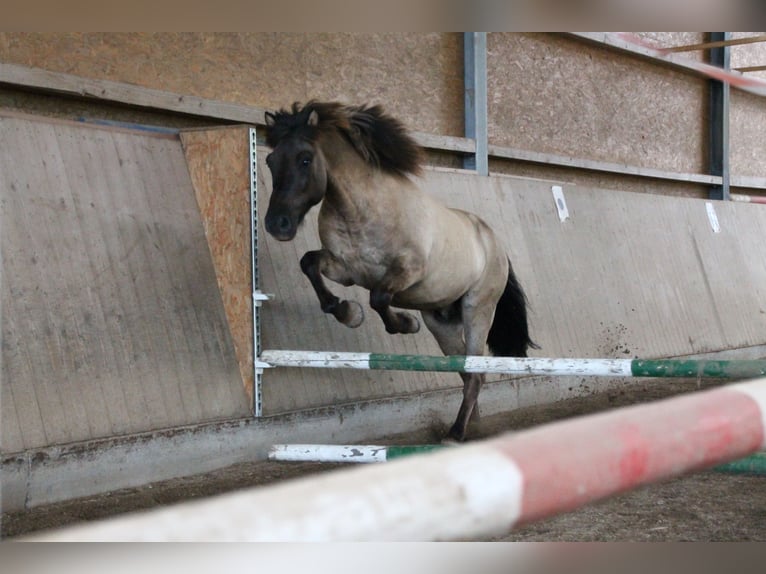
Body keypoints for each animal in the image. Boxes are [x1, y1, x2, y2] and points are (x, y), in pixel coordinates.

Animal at [268, 101, 536, 444]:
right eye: (270, 160)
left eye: (305, 158)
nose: (277, 224)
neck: (360, 212)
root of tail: (495, 243)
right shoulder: (345, 270)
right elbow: (310, 265)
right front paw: (348, 312)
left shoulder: (407, 271)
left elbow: (379, 298)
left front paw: (405, 323)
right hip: (442, 324)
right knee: (466, 372)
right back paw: (469, 425)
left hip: (477, 311)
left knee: (476, 373)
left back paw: (455, 433)